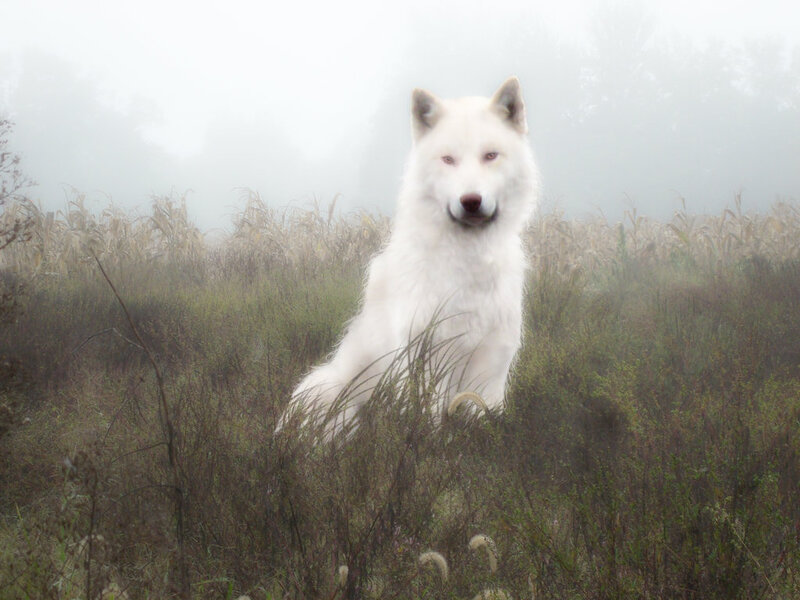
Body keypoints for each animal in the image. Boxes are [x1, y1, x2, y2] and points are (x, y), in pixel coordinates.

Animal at [288, 77, 539, 432]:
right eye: (448, 160)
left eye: (490, 156)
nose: (471, 201)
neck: (467, 265)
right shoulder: (423, 356)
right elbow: (428, 419)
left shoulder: (491, 361)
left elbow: (481, 415)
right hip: (326, 386)